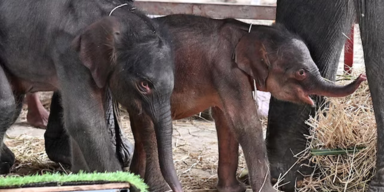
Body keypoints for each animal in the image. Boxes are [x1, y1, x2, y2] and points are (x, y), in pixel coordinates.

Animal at [129, 14, 366, 191]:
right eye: (301, 72)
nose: (362, 77)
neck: (249, 30)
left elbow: (226, 121)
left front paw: (233, 189)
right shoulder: (226, 71)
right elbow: (246, 123)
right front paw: (268, 191)